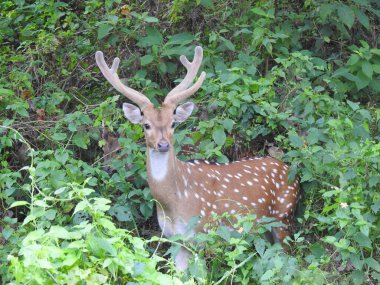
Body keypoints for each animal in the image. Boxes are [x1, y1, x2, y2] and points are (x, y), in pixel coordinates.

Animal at [95, 46, 300, 268]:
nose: (163, 145)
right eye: (146, 125)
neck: (173, 203)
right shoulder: (175, 239)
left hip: (283, 217)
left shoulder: (203, 233)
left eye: (173, 123)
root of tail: (292, 171)